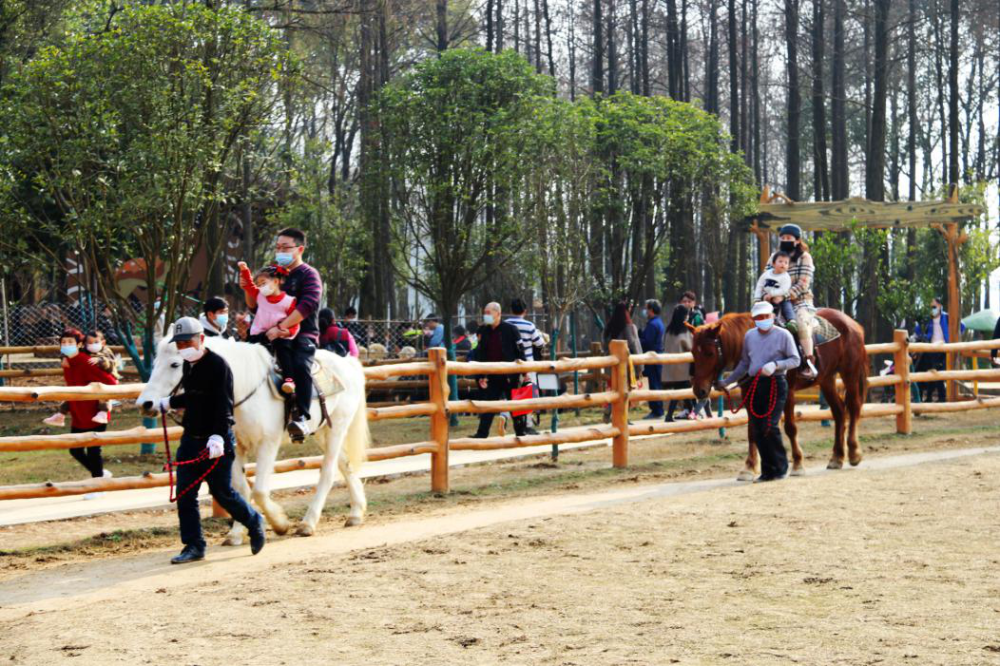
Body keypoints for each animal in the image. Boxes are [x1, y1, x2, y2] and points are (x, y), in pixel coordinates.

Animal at [134, 334, 368, 544]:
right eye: (155, 363)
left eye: (175, 364)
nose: (145, 404)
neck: (243, 388)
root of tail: (347, 362)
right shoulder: (235, 447)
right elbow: (241, 489)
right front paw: (236, 534)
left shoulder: (268, 443)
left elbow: (260, 491)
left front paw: (280, 524)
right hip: (321, 432)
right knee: (345, 465)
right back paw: (356, 513)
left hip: (337, 427)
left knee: (328, 472)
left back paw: (307, 523)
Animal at [688, 308, 868, 480]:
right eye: (693, 352)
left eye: (710, 353)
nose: (699, 390)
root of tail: (851, 323)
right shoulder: (749, 396)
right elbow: (752, 430)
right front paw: (749, 467)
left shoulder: (788, 394)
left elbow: (790, 428)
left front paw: (797, 464)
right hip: (827, 378)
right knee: (839, 412)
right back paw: (836, 458)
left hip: (849, 372)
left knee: (853, 407)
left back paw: (854, 453)